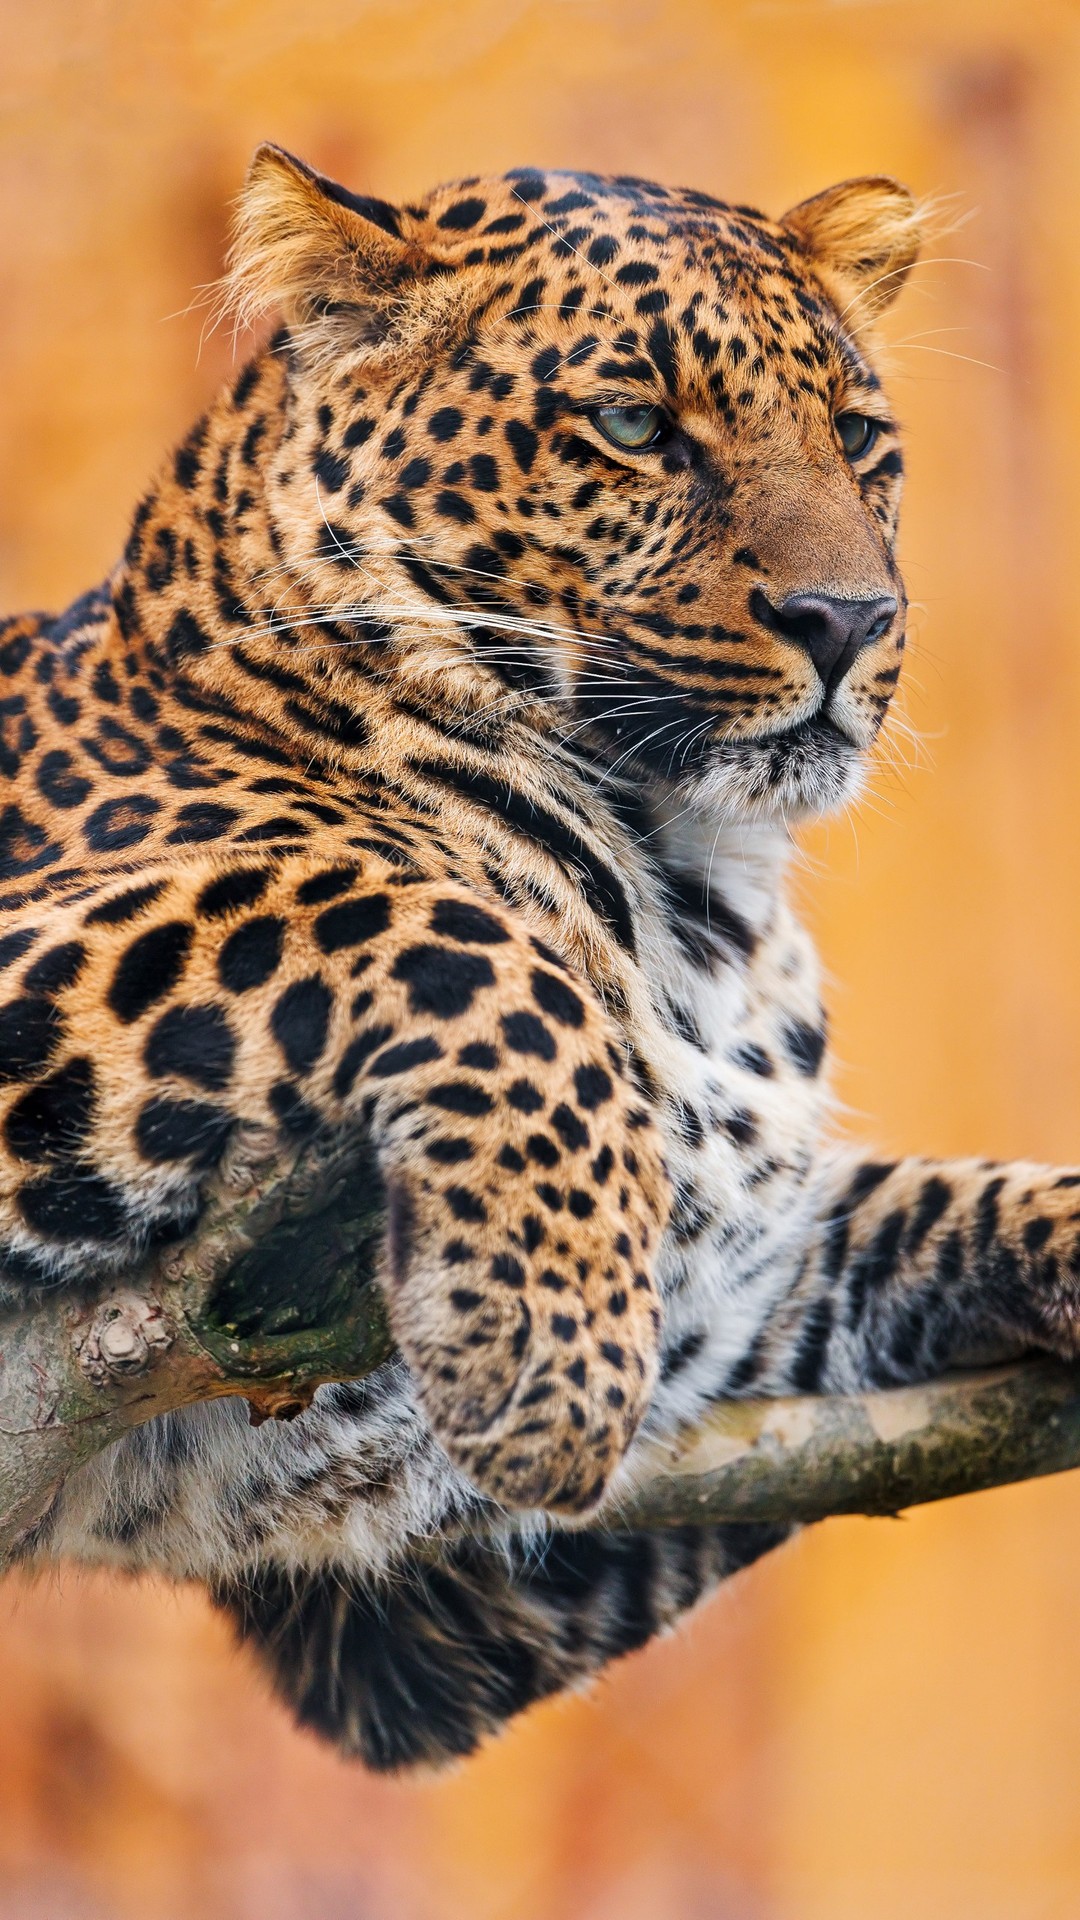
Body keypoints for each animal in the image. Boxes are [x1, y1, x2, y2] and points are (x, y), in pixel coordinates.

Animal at [3, 145, 1079, 1772]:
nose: (851, 619)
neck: (699, 895)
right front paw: (544, 1348)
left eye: (857, 436)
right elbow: (424, 920)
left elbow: (943, 1200)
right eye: (636, 427)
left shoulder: (511, 1536)